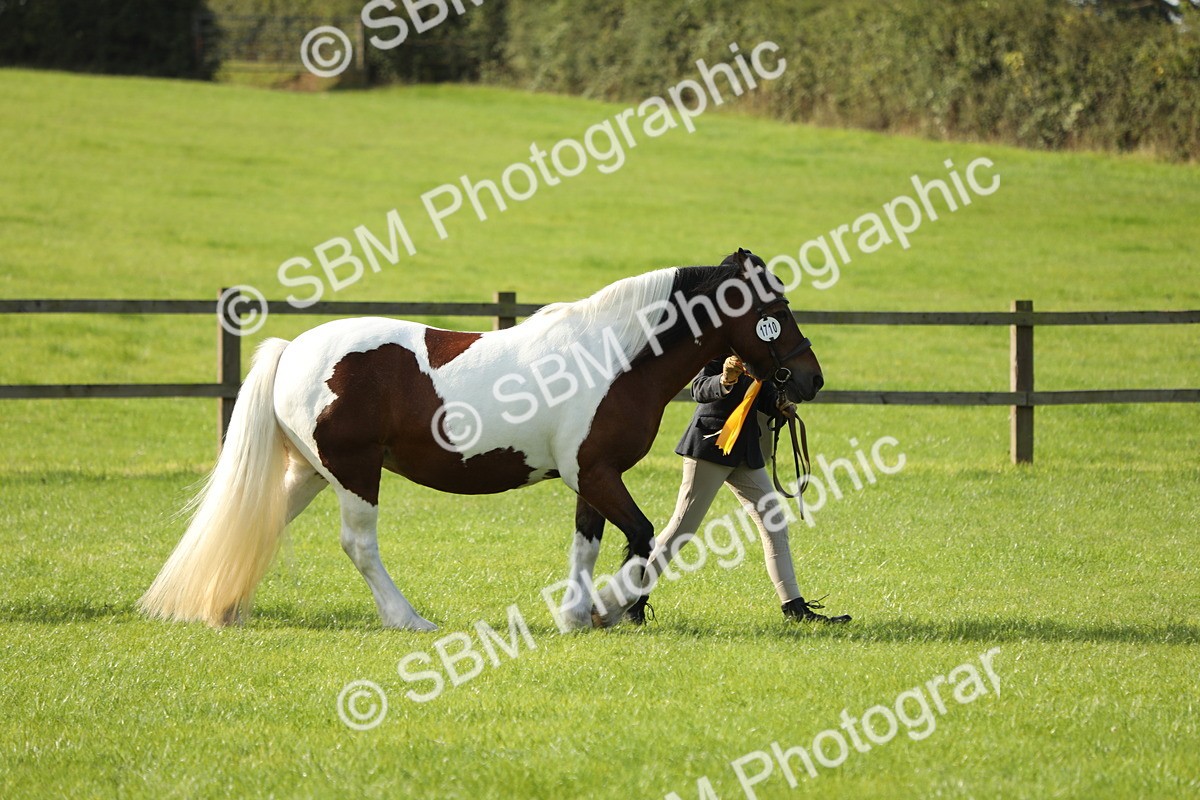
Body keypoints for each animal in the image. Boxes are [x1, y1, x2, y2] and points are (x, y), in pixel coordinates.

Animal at [138, 249, 824, 631]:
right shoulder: (597, 473)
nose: (811, 379)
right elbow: (643, 537)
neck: (614, 356)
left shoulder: (592, 475)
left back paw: (226, 607)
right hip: (356, 472)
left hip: (311, 471)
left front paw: (578, 615)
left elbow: (589, 546)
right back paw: (408, 620)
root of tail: (292, 350)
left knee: (264, 520)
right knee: (359, 545)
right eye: (775, 309)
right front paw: (610, 609)